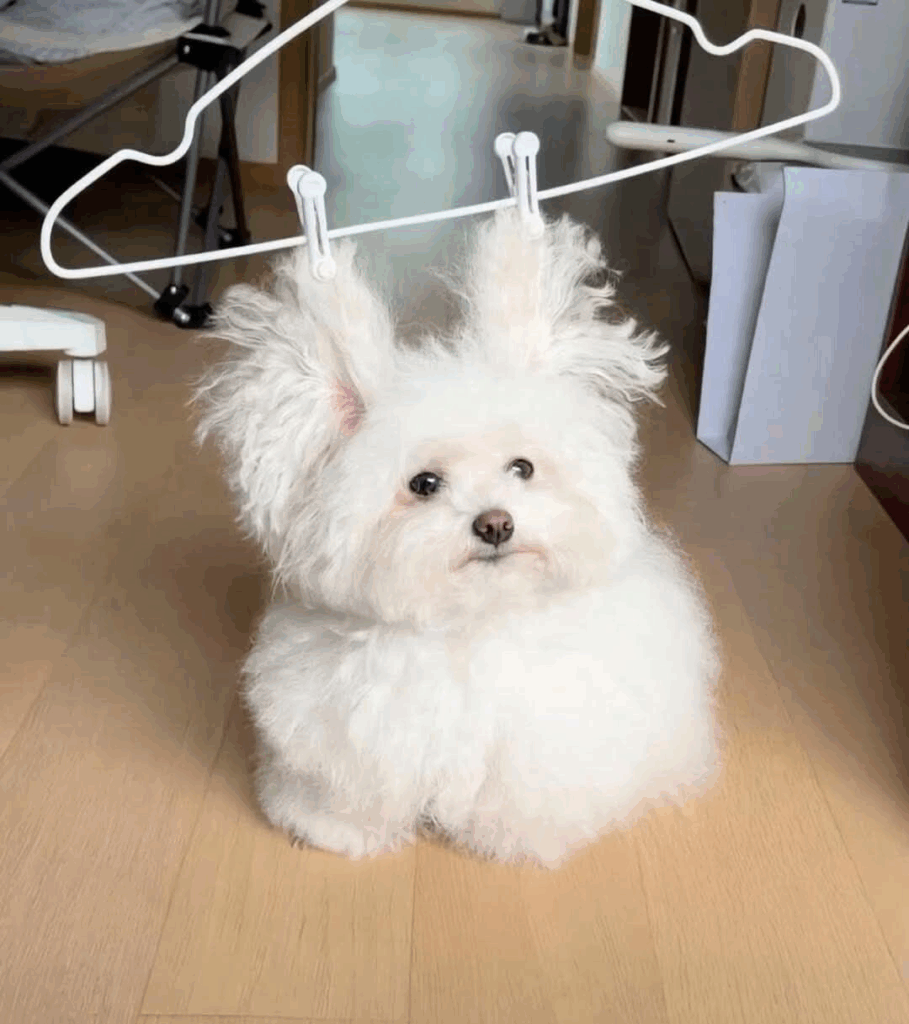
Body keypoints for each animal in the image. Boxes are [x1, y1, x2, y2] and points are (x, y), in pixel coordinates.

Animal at [195, 210, 719, 867]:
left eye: (522, 467)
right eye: (424, 484)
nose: (495, 522)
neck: (467, 626)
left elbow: (525, 791)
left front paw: (515, 838)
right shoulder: (349, 729)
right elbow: (352, 787)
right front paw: (331, 827)